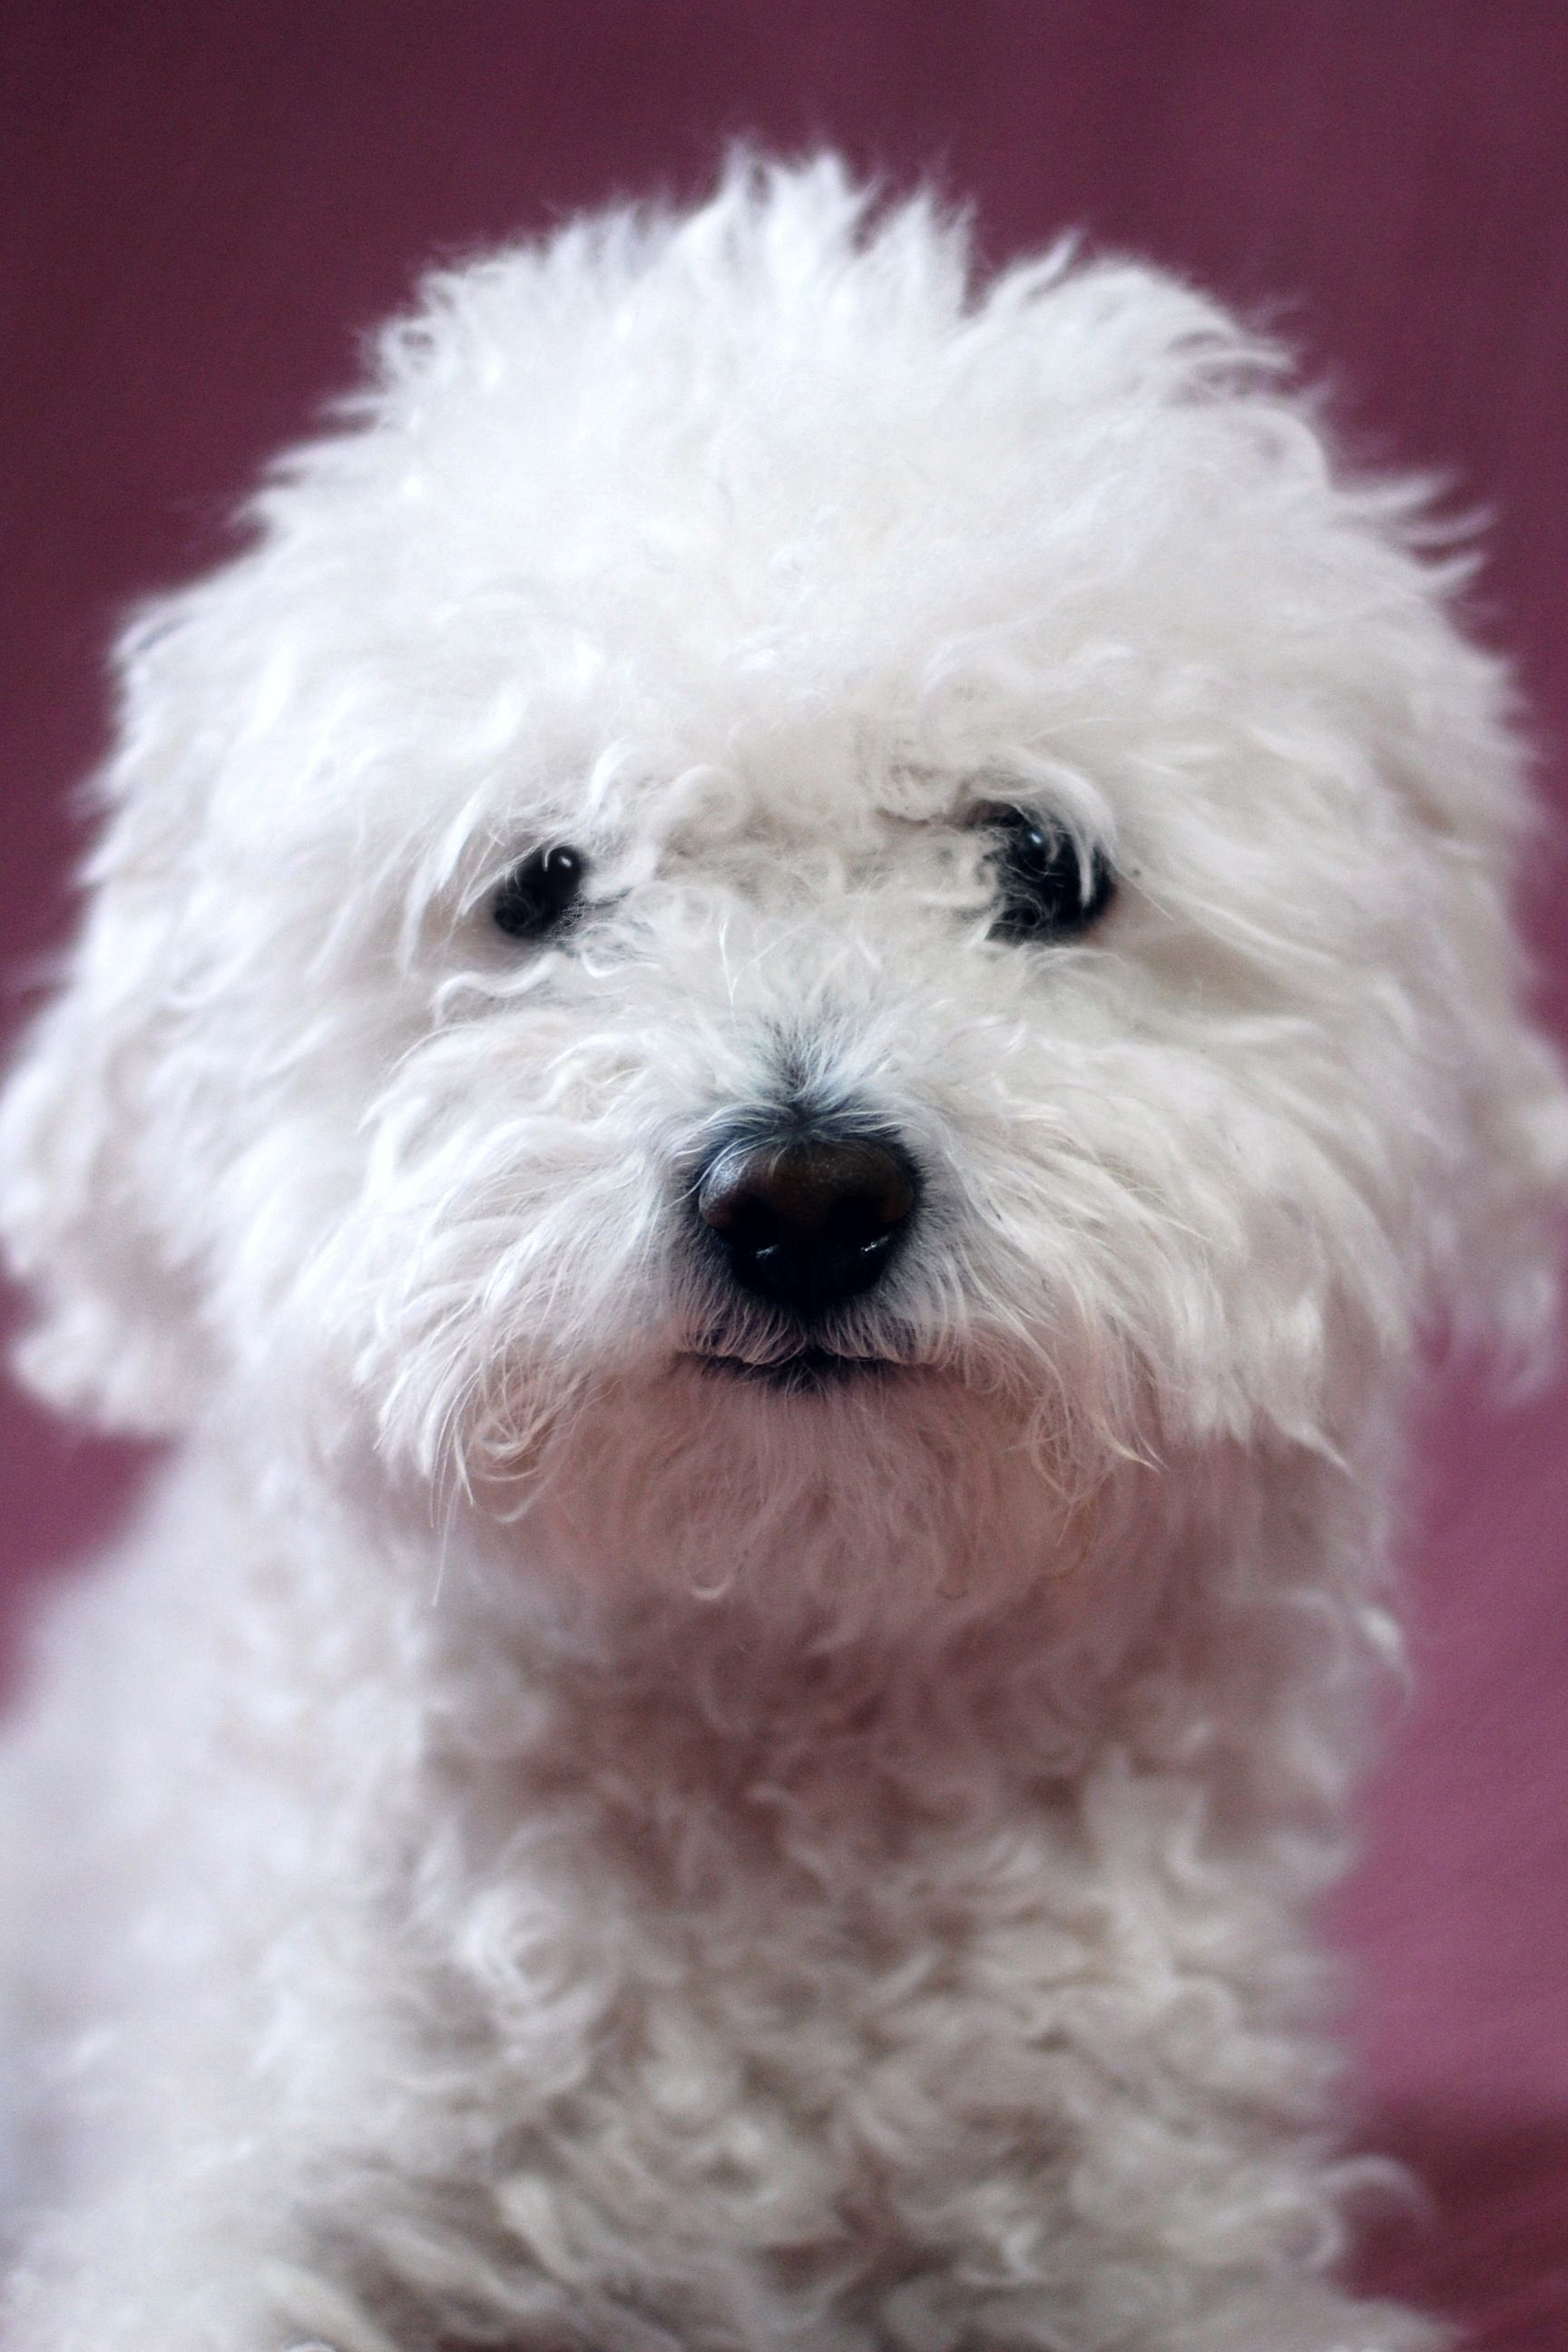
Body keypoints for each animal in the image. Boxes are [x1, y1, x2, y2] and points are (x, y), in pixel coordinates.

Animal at [3, 161, 1568, 2352]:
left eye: (1040, 864)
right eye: (543, 882)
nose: (805, 1194)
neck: (784, 1707)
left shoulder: (1153, 2235)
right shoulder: (250, 2193)